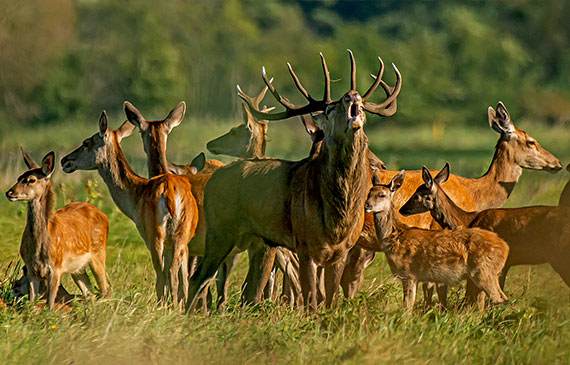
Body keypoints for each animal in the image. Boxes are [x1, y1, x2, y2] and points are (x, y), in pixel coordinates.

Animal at [5, 148, 108, 308]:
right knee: (89, 292)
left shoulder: (55, 268)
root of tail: (103, 215)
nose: (9, 192)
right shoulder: (32, 269)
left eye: (31, 180)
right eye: (19, 177)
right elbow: (32, 303)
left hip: (99, 253)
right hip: (78, 269)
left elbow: (50, 305)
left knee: (105, 289)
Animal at [61, 112, 199, 306]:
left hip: (156, 235)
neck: (135, 195)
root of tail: (170, 193)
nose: (65, 160)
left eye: (86, 142)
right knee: (178, 274)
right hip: (181, 234)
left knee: (164, 273)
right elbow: (184, 276)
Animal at [185, 49, 400, 310]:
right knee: (199, 278)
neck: (336, 218)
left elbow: (331, 301)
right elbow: (311, 302)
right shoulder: (305, 245)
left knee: (241, 288)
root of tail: (212, 179)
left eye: (364, 108)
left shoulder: (342, 250)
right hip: (220, 231)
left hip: (256, 241)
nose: (352, 95)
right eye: (329, 109)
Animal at [364, 172, 506, 308]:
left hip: (484, 272)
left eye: (382, 195)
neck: (396, 235)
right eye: (369, 193)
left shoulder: (409, 274)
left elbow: (407, 306)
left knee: (498, 299)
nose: (367, 205)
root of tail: (504, 247)